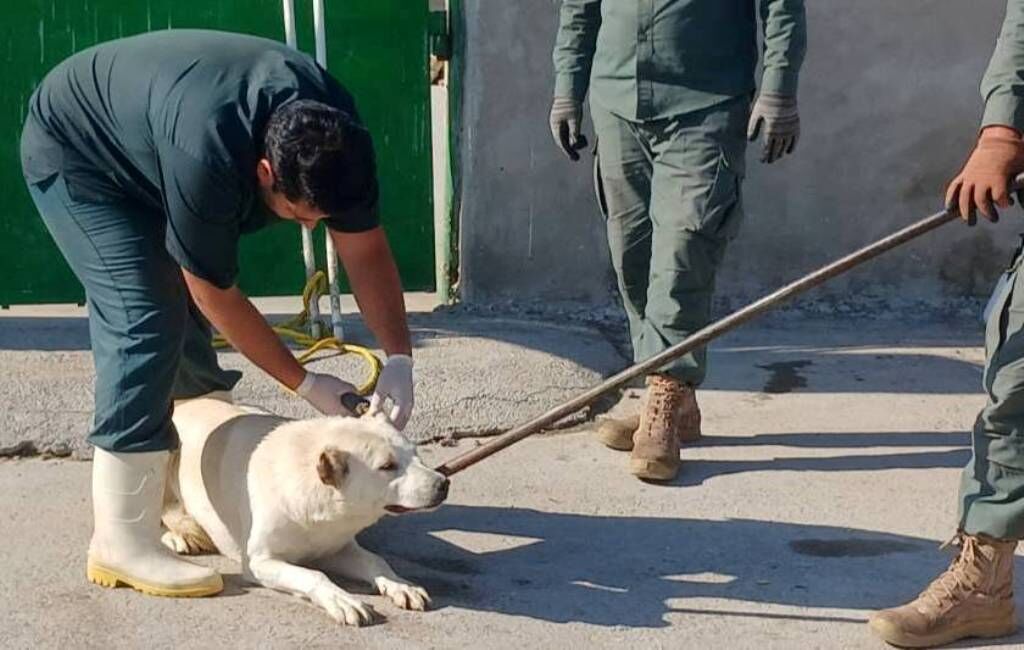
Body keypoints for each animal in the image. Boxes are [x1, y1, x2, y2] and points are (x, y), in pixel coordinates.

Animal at [162, 397, 448, 626]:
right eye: (387, 466)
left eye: (416, 454)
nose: (443, 483)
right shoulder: (259, 562)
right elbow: (314, 575)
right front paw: (342, 599)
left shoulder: (336, 548)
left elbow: (375, 560)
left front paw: (400, 584)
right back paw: (177, 535)